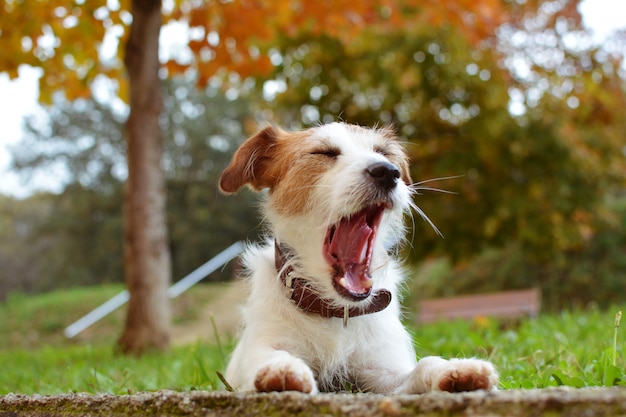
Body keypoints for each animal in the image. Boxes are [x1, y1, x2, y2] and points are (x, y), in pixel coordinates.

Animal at [217, 121, 494, 394]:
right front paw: (281, 370)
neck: (337, 312)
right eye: (324, 152)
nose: (388, 172)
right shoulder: (264, 344)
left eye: (383, 153)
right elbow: (270, 355)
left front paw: (454, 369)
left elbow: (423, 365)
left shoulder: (383, 372)